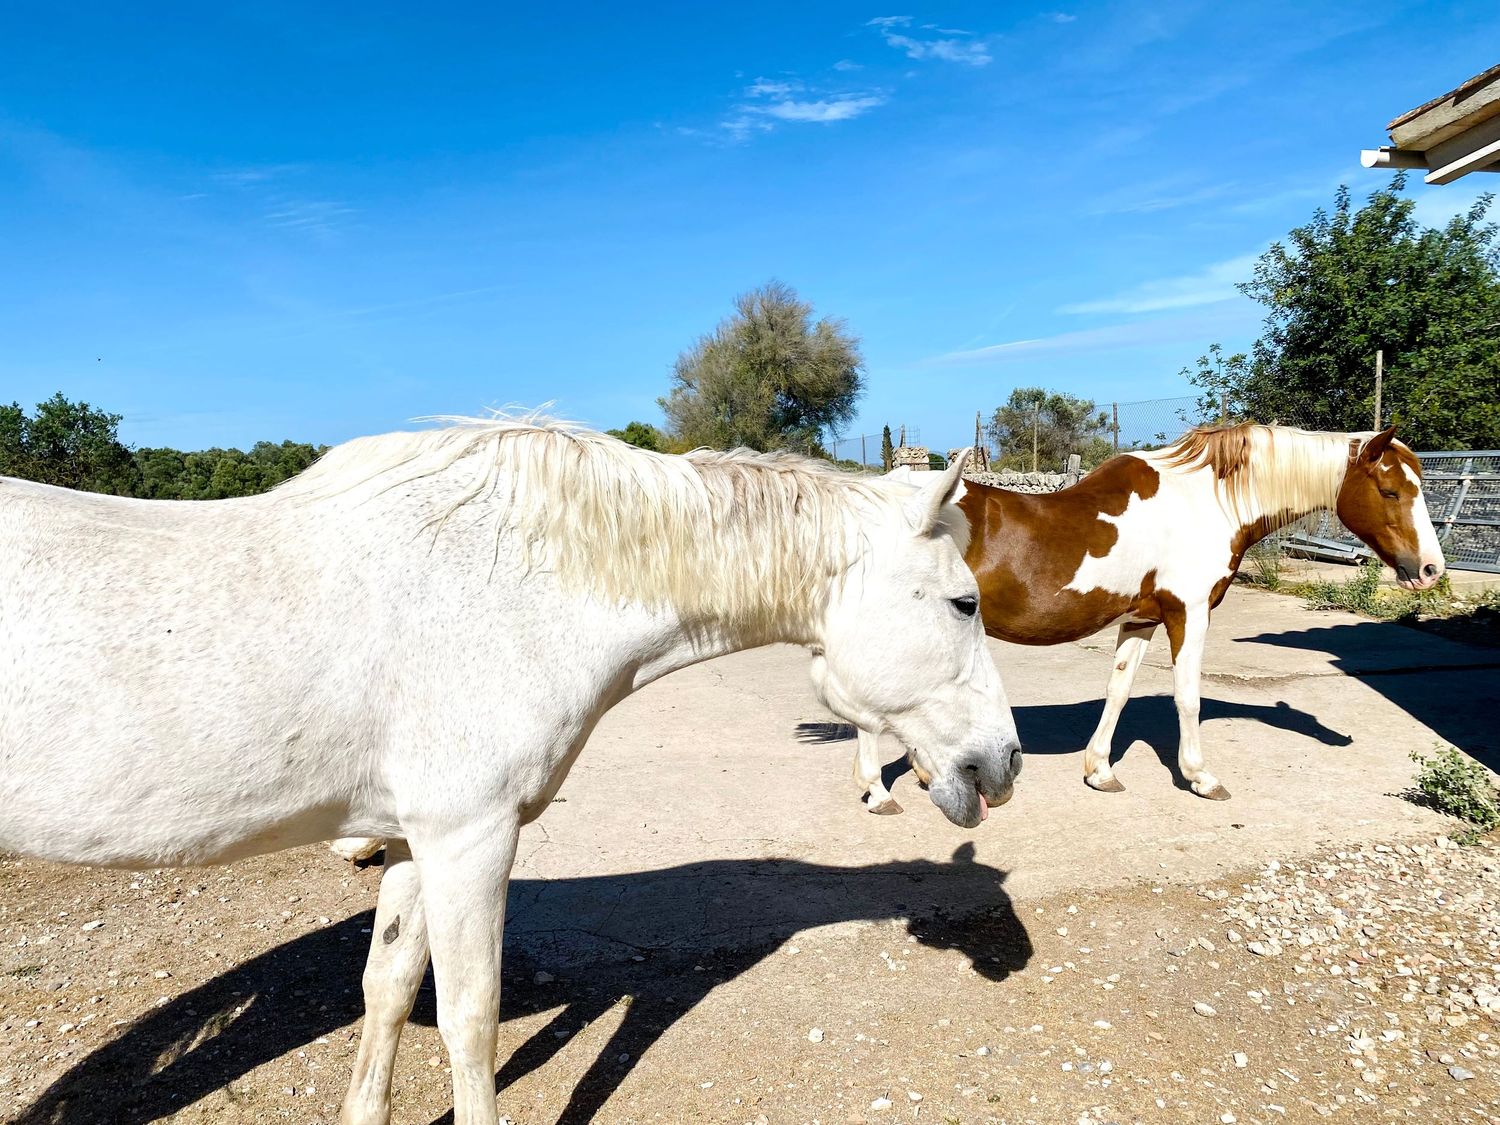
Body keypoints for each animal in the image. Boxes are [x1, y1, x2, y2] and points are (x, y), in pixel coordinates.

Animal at [0, 417, 1023, 1125]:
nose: (1004, 762)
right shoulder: (471, 840)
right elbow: (471, 1017)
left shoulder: (415, 842)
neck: (513, 585)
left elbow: (387, 990)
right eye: (964, 602)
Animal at [850, 423, 1443, 812]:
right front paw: (1201, 777)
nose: (1430, 569)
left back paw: (923, 774)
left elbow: (1118, 692)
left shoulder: (1139, 620)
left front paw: (1100, 771)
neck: (1206, 502)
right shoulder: (1189, 613)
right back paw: (878, 792)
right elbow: (1188, 697)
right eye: (1390, 490)